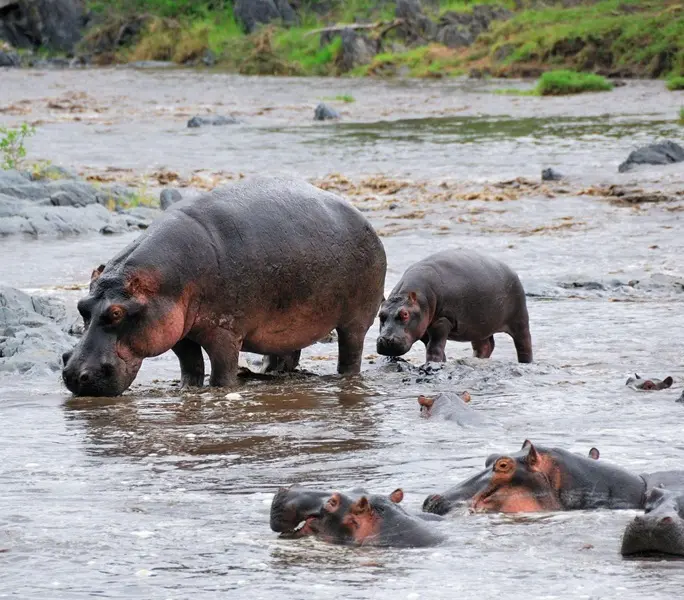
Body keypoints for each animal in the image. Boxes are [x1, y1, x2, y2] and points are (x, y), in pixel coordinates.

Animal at [61, 177, 387, 396]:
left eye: (116, 313)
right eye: (81, 307)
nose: (75, 375)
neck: (166, 280)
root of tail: (364, 219)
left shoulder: (225, 331)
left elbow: (221, 369)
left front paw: (220, 389)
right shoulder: (178, 334)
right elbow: (190, 365)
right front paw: (187, 389)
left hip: (356, 320)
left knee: (351, 352)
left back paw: (345, 377)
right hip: (292, 322)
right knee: (286, 351)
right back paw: (270, 372)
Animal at [376, 249, 532, 364]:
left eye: (405, 314)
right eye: (380, 315)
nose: (385, 340)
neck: (419, 299)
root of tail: (511, 270)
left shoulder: (442, 321)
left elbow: (434, 347)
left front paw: (433, 363)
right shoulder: (423, 328)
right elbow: (432, 346)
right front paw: (442, 362)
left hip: (519, 319)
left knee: (524, 343)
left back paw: (526, 362)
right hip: (478, 326)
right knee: (485, 346)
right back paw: (476, 359)